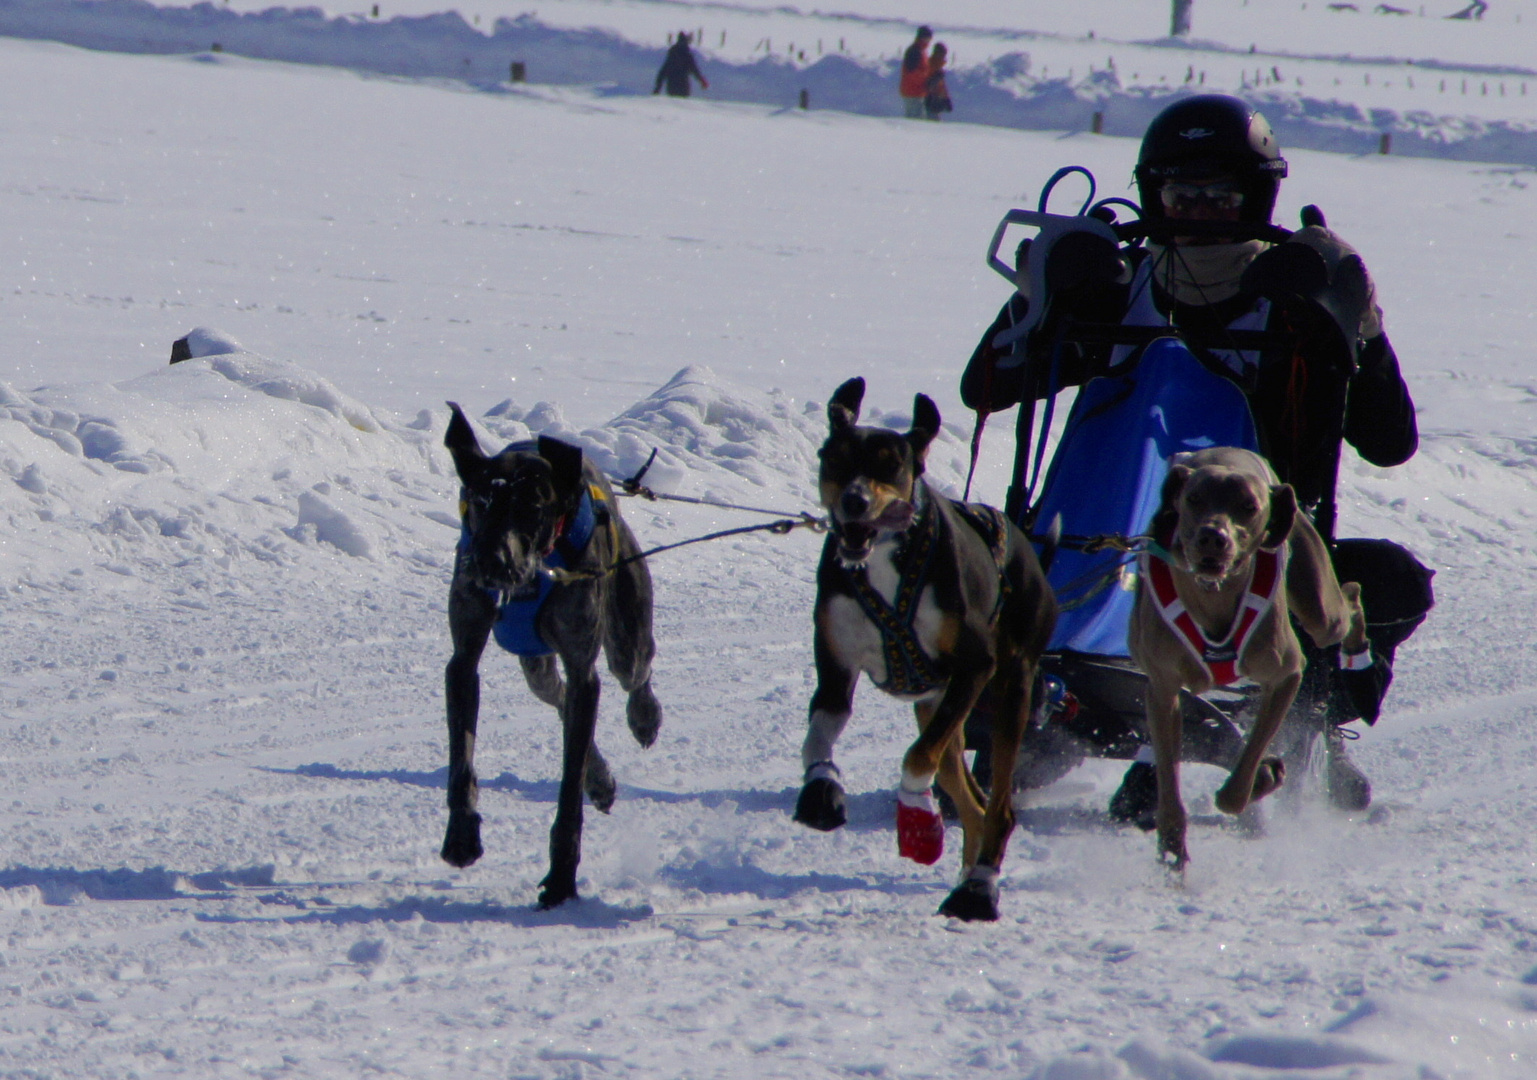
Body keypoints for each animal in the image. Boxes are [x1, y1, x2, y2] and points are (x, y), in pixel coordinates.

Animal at [442, 402, 663, 909]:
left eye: (533, 506)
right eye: (480, 501)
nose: (491, 561)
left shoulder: (584, 666)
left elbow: (568, 790)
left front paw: (562, 877)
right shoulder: (463, 661)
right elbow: (461, 762)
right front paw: (461, 834)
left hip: (625, 637)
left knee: (634, 671)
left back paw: (644, 716)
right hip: (536, 665)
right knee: (556, 695)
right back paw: (599, 777)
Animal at [793, 380, 1057, 921]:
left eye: (891, 464)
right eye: (835, 457)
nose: (853, 501)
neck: (882, 562)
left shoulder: (974, 666)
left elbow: (916, 760)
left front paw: (917, 817)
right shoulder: (834, 667)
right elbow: (819, 733)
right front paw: (821, 789)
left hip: (1007, 694)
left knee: (998, 807)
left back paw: (980, 887)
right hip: (940, 707)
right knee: (972, 801)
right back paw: (968, 873)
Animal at [1131, 448, 1371, 872]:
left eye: (1249, 506)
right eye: (1193, 499)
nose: (1213, 536)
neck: (1212, 597)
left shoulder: (1286, 676)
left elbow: (1244, 771)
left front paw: (1263, 775)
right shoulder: (1162, 690)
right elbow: (1169, 782)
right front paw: (1172, 845)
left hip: (1319, 608)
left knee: (1349, 598)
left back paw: (1358, 648)